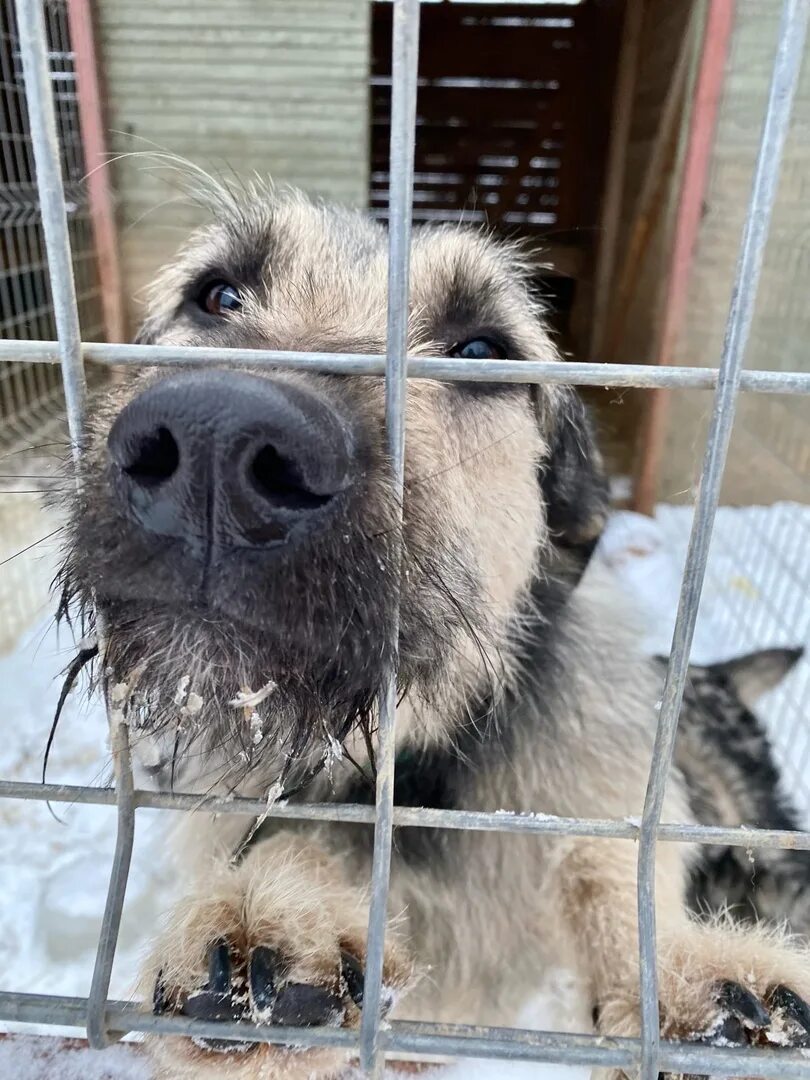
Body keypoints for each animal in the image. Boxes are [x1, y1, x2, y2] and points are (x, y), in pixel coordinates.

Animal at [57, 181, 810, 1075]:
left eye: (482, 350)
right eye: (219, 296)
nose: (217, 437)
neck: (413, 777)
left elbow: (605, 862)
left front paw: (684, 969)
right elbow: (283, 835)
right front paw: (282, 905)